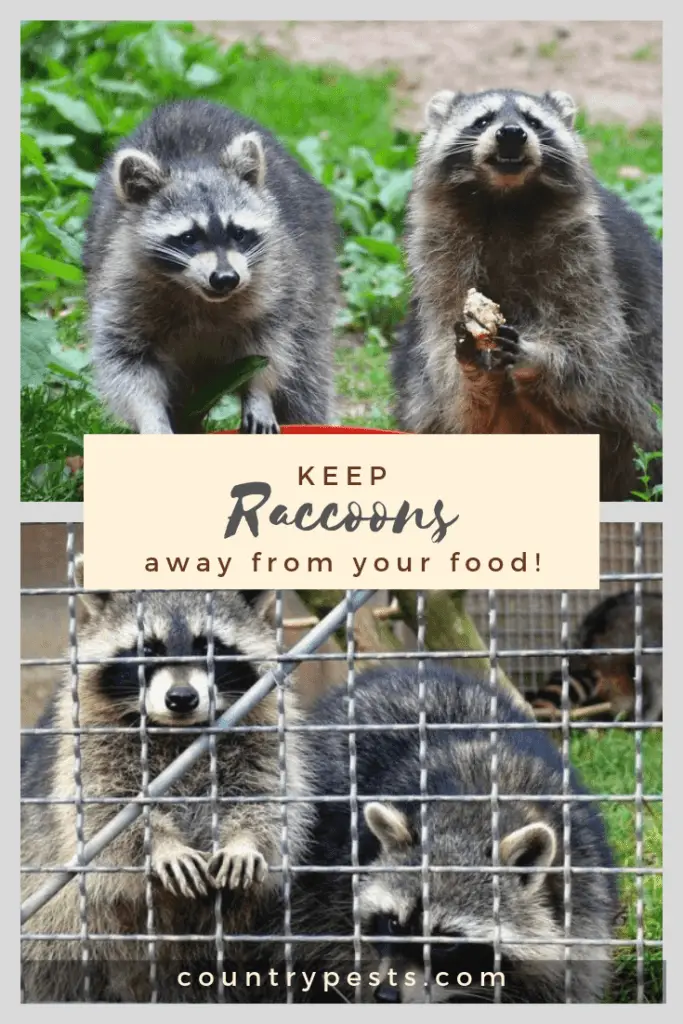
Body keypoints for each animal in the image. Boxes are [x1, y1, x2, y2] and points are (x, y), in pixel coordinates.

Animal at [21, 566, 313, 1002]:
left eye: (208, 646)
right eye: (148, 649)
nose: (181, 697)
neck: (178, 731)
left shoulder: (261, 732)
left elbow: (265, 794)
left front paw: (244, 838)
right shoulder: (91, 744)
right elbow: (106, 811)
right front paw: (160, 843)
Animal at [83, 100, 338, 435]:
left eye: (238, 233)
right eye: (189, 238)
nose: (226, 278)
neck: (199, 297)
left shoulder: (276, 285)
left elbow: (270, 350)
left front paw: (258, 392)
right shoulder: (121, 288)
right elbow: (125, 363)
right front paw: (150, 416)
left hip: (314, 274)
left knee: (306, 375)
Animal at [289, 666, 618, 1003]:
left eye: (446, 942)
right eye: (393, 922)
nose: (387, 995)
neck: (472, 816)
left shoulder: (583, 891)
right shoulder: (335, 890)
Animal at [392, 88, 662, 501]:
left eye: (534, 121)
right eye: (483, 120)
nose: (511, 134)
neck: (506, 200)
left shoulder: (590, 257)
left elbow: (593, 347)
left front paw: (537, 356)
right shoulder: (439, 256)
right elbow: (443, 366)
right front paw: (472, 368)